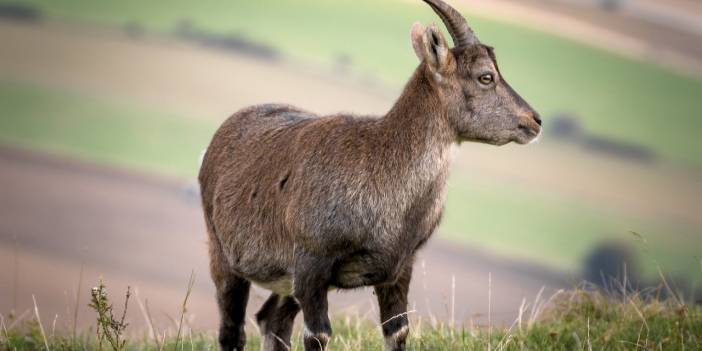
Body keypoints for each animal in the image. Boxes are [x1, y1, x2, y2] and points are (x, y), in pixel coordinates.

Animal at [201, 0, 540, 351]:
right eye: (486, 76)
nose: (535, 120)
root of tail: (220, 136)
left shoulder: (399, 269)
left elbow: (398, 331)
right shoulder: (311, 265)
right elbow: (318, 335)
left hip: (285, 283)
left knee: (272, 319)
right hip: (224, 254)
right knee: (232, 330)